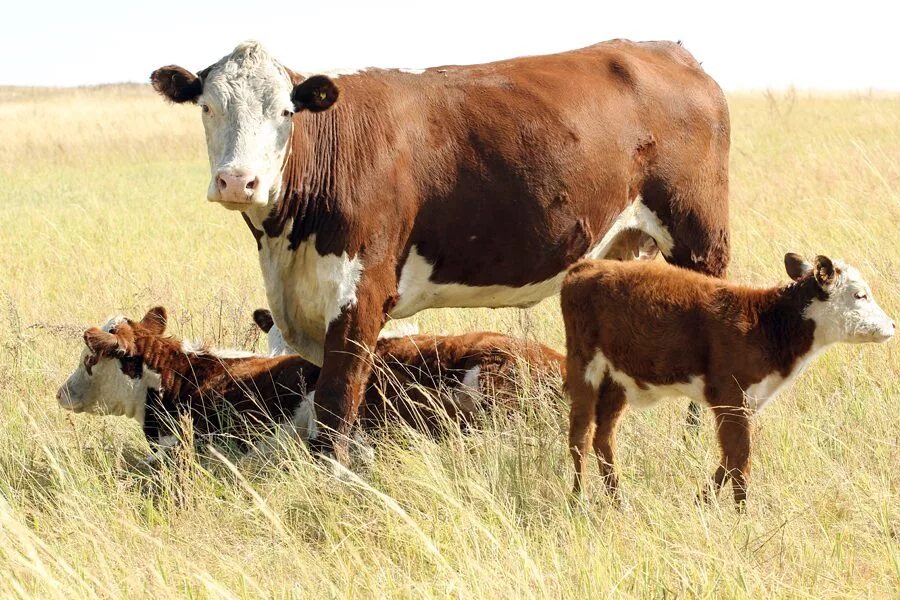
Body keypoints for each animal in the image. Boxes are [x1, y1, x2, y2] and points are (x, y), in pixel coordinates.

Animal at [151, 39, 732, 462]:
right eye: (207, 106)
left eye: (284, 112)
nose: (237, 181)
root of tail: (670, 51)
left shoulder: (361, 295)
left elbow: (336, 406)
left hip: (700, 239)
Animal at [564, 253, 892, 506]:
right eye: (860, 295)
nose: (891, 325)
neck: (765, 325)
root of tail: (585, 266)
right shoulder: (730, 396)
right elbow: (740, 460)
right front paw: (742, 517)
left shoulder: (746, 403)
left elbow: (729, 457)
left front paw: (700, 503)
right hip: (583, 364)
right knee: (580, 436)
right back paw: (579, 501)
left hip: (616, 379)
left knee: (604, 437)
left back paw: (618, 502)